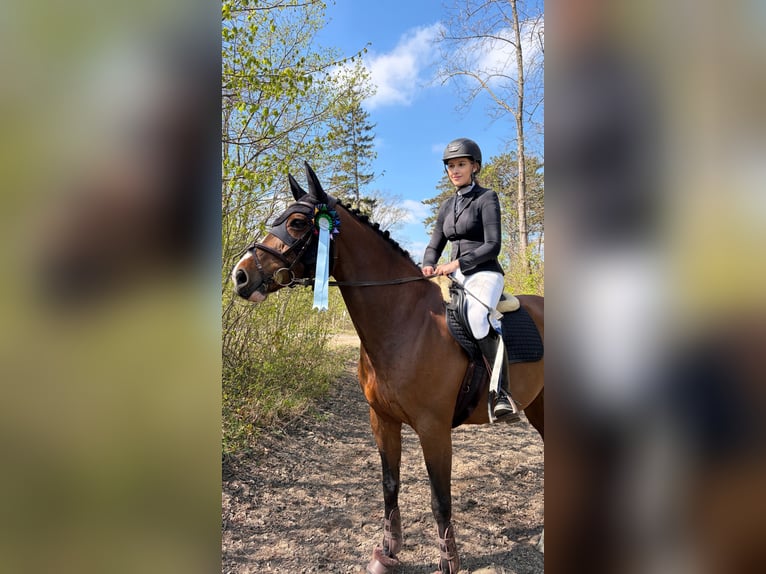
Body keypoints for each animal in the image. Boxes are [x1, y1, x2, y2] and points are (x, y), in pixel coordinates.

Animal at [231, 163, 544, 573]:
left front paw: (449, 561)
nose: (239, 276)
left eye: (298, 222)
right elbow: (389, 486)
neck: (404, 322)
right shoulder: (382, 420)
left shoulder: (433, 429)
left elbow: (440, 499)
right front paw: (389, 550)